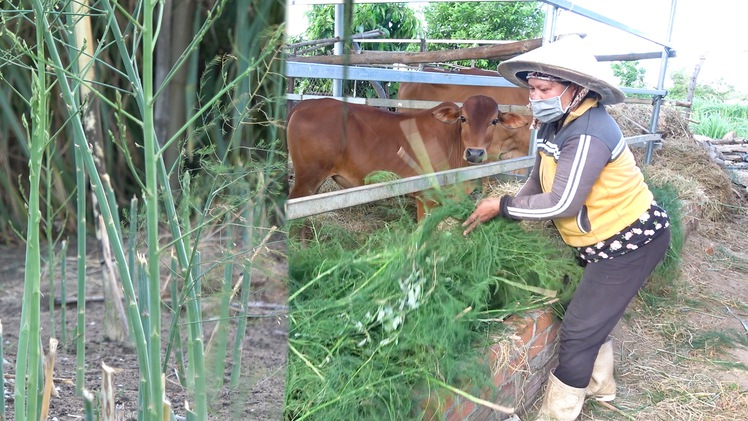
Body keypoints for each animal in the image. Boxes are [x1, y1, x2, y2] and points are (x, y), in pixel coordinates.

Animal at [288, 95, 516, 220]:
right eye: (463, 118)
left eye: (494, 121)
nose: (474, 153)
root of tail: (305, 105)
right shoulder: (426, 197)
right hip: (307, 178)